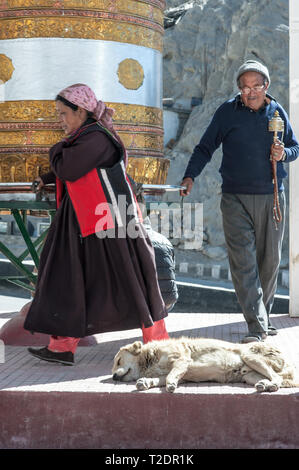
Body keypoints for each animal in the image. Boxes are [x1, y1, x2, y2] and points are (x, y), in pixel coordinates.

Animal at [112, 338, 298, 392]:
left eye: (118, 361)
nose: (113, 376)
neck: (150, 357)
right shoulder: (181, 375)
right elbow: (160, 379)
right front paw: (145, 382)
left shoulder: (182, 361)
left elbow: (170, 376)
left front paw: (170, 385)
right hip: (250, 376)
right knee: (276, 379)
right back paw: (264, 384)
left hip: (249, 356)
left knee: (277, 378)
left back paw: (271, 385)